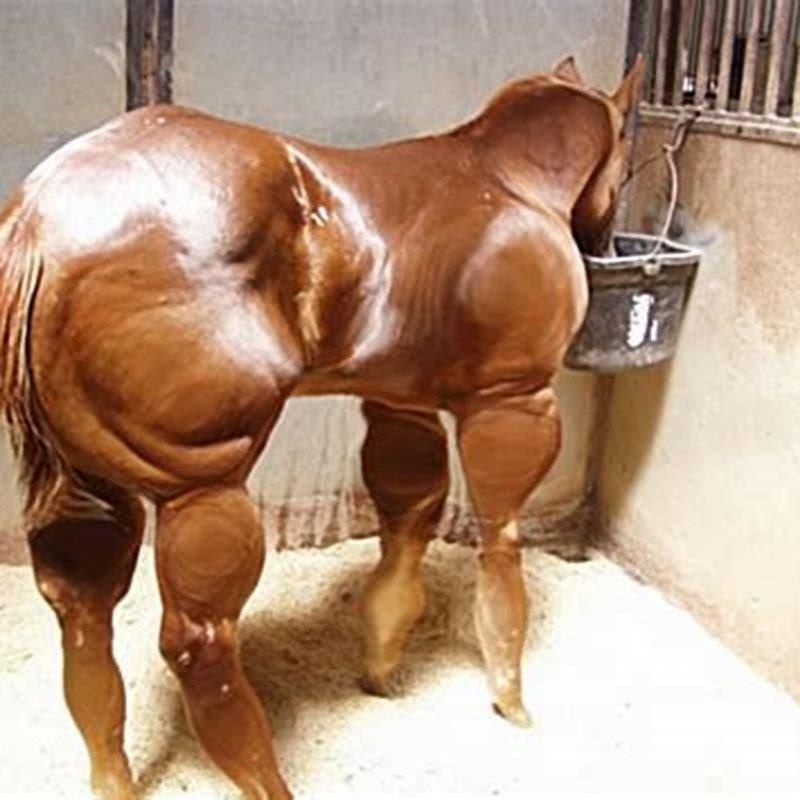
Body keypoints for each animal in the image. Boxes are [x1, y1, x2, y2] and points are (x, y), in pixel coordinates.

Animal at [0, 55, 643, 799]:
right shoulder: (513, 401)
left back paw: (115, 778)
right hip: (204, 493)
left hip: (92, 487)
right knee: (199, 643)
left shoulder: (400, 402)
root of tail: (41, 219)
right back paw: (268, 779)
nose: (607, 239)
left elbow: (409, 519)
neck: (505, 179)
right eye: (626, 159)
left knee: (83, 619)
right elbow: (499, 539)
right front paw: (510, 699)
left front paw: (383, 658)